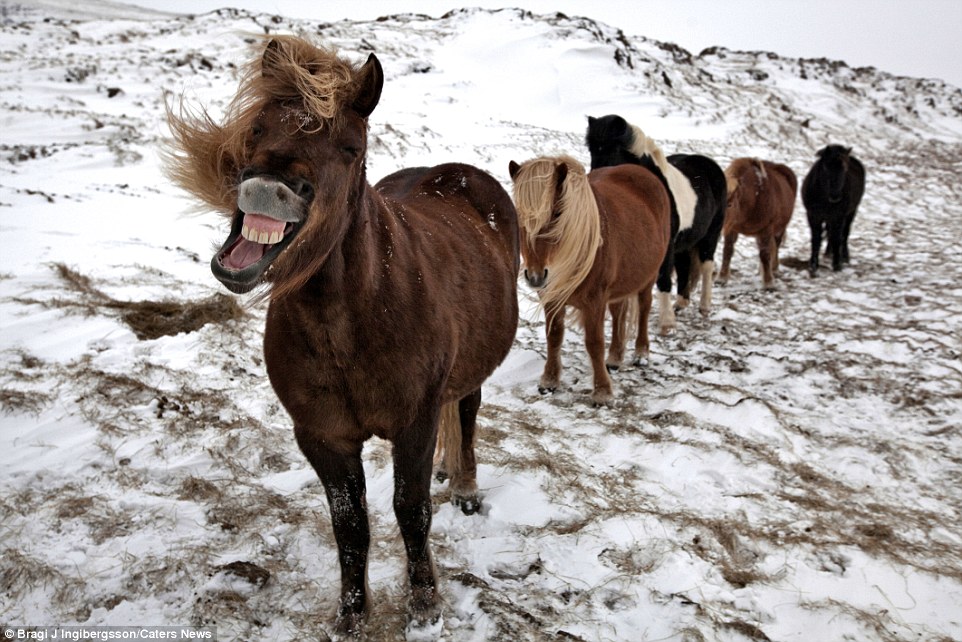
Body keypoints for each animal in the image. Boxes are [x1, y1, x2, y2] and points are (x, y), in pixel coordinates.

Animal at [165, 37, 516, 636]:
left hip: (471, 372)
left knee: (466, 414)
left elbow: (411, 511)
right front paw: (351, 615)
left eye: (351, 148)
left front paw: (425, 604)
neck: (348, 325)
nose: (268, 189)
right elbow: (350, 527)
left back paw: (465, 486)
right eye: (257, 127)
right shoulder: (322, 436)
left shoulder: (414, 423)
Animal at [510, 154, 668, 402]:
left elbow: (594, 343)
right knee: (618, 313)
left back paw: (641, 353)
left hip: (648, 276)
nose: (535, 276)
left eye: (557, 213)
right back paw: (615, 358)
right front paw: (549, 381)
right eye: (519, 216)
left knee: (644, 308)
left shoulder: (595, 301)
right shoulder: (553, 298)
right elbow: (554, 337)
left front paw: (602, 391)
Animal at [580, 114, 724, 324]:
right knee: (684, 266)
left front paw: (666, 322)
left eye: (614, 149)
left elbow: (663, 277)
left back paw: (704, 307)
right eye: (592, 149)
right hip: (684, 242)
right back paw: (680, 304)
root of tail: (709, 164)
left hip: (710, 235)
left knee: (706, 265)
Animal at [716, 158, 800, 288]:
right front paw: (722, 278)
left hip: (779, 228)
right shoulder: (732, 229)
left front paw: (768, 283)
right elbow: (727, 251)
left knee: (775, 246)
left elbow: (765, 254)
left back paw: (773, 269)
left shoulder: (766, 229)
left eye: (729, 204)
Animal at [800, 144, 868, 274]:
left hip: (850, 213)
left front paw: (837, 264)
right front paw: (813, 265)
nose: (835, 196)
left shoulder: (839, 216)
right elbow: (816, 239)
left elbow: (837, 238)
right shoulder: (813, 215)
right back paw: (828, 252)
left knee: (844, 234)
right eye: (826, 168)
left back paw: (844, 256)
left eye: (845, 169)